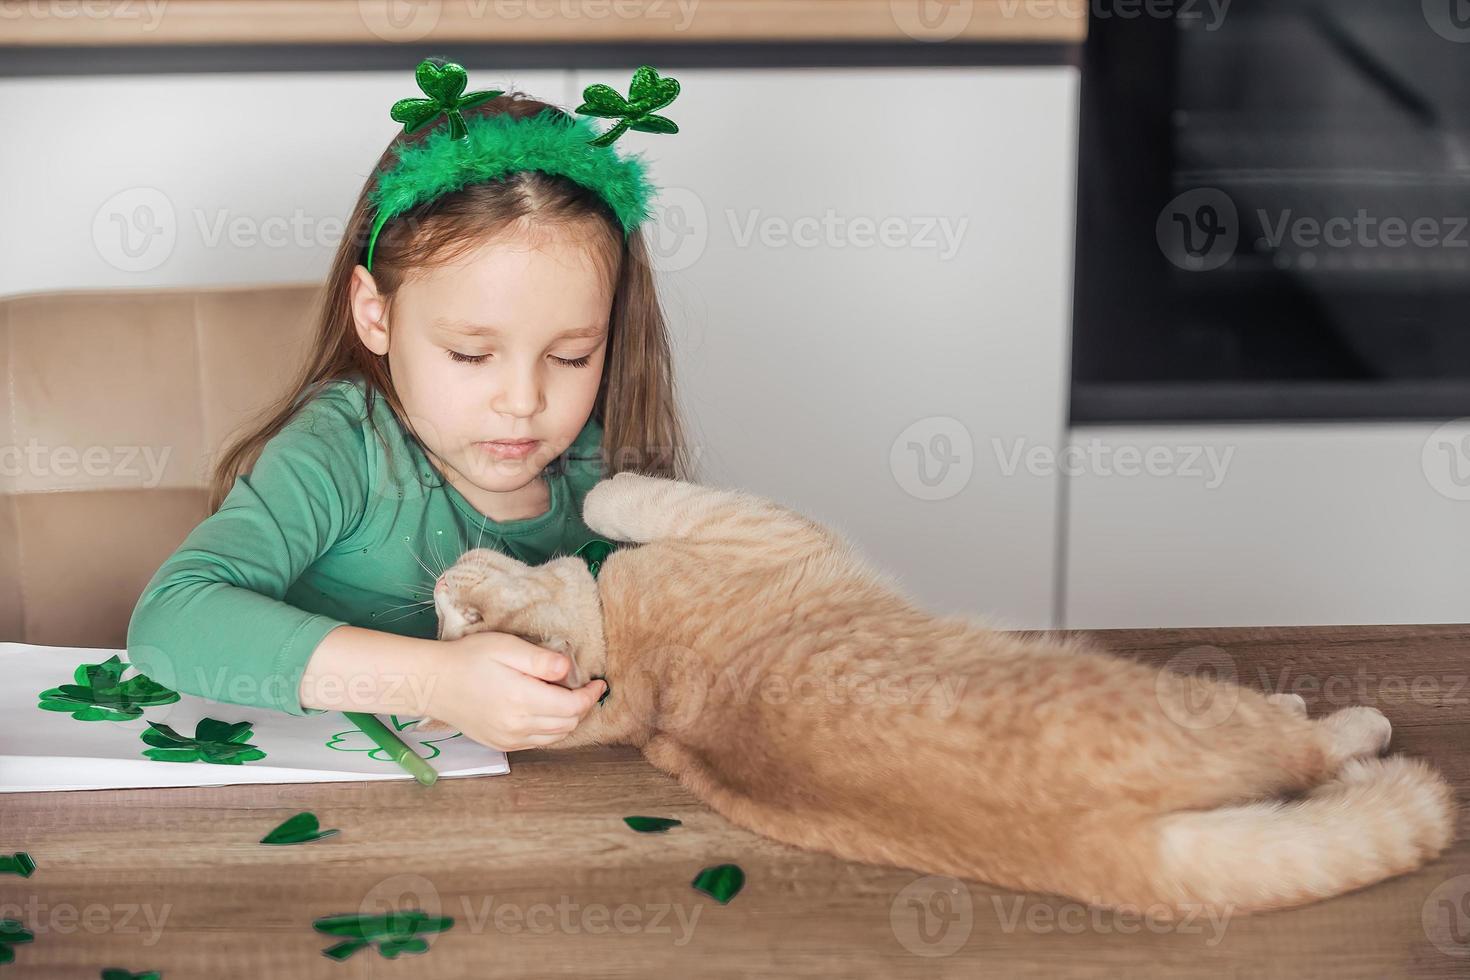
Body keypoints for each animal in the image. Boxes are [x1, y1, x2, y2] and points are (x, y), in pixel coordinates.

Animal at [429, 470, 1452, 916]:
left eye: (450, 613)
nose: (435, 586)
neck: (634, 663)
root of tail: (1109, 848)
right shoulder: (750, 523)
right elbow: (618, 493)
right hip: (1196, 702)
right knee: (1310, 746)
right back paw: (1334, 718)